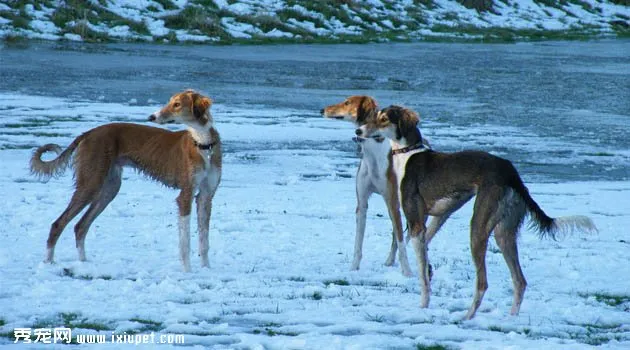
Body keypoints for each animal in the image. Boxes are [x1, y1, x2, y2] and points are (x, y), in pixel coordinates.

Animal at [30, 89, 222, 272]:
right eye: (170, 102)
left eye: (177, 104)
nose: (151, 117)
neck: (203, 144)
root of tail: (88, 133)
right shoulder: (185, 196)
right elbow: (185, 243)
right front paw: (187, 272)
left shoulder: (205, 197)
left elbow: (204, 241)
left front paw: (206, 269)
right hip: (91, 184)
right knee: (58, 223)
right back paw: (48, 263)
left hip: (110, 188)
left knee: (80, 226)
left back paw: (83, 263)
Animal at [360, 105, 596, 318]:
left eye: (383, 119)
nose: (358, 132)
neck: (408, 153)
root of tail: (511, 172)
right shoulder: (437, 217)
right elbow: (425, 258)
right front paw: (429, 271)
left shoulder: (417, 224)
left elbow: (421, 276)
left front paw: (423, 305)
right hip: (504, 234)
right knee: (520, 281)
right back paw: (511, 318)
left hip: (478, 228)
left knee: (483, 283)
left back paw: (466, 317)